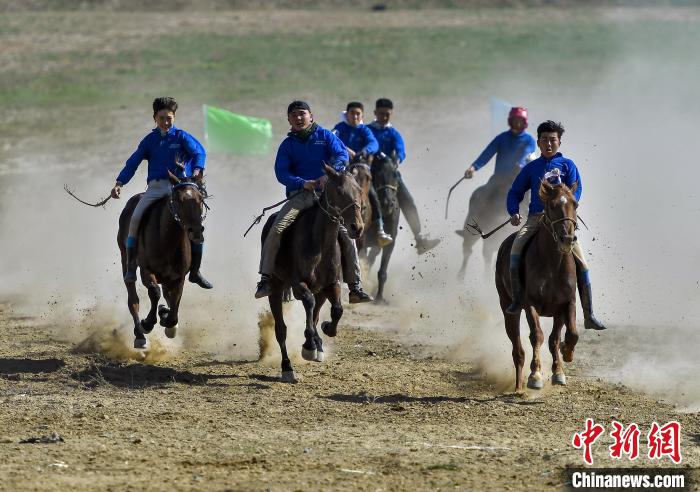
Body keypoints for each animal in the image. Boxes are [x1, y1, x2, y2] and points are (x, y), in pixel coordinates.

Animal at [116, 173, 205, 350]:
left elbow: (175, 300)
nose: (197, 231)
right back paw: (139, 335)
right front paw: (147, 324)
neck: (167, 239)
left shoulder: (178, 276)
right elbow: (154, 292)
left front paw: (168, 320)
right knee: (133, 299)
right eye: (179, 200)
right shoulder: (146, 271)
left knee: (167, 295)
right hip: (125, 258)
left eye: (200, 198)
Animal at [260, 165, 364, 384]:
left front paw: (325, 331)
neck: (320, 244)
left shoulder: (331, 284)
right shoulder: (299, 284)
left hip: (320, 291)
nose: (357, 227)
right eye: (339, 191)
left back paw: (317, 343)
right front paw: (309, 346)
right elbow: (308, 303)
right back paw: (288, 368)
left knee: (315, 315)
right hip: (276, 287)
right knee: (281, 329)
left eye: (359, 190)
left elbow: (337, 310)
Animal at [358, 152, 402, 304]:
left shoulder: (390, 242)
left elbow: (382, 272)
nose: (387, 203)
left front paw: (379, 299)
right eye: (376, 174)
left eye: (395, 174)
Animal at [494, 180, 584, 392]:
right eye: (552, 205)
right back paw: (519, 387)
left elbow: (564, 337)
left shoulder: (566, 304)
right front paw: (535, 375)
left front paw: (562, 365)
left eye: (575, 204)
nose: (567, 239)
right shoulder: (531, 304)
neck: (552, 263)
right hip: (508, 307)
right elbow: (537, 336)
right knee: (517, 349)